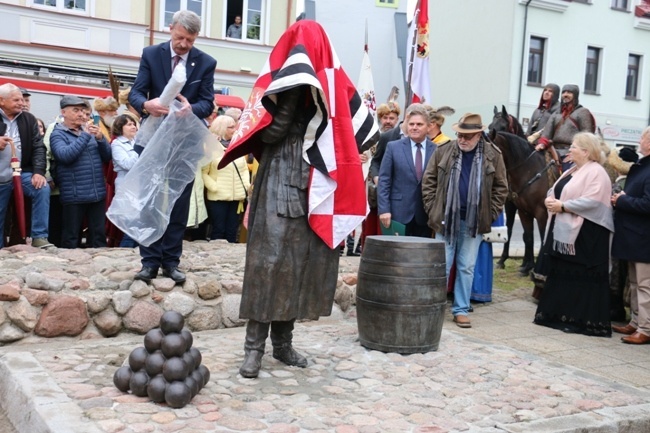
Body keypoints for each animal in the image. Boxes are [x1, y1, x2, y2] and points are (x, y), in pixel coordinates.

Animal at [486, 105, 556, 274]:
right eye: (490, 125)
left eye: (503, 126)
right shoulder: (519, 208)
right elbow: (525, 235)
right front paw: (524, 265)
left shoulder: (541, 212)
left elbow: (541, 237)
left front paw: (534, 269)